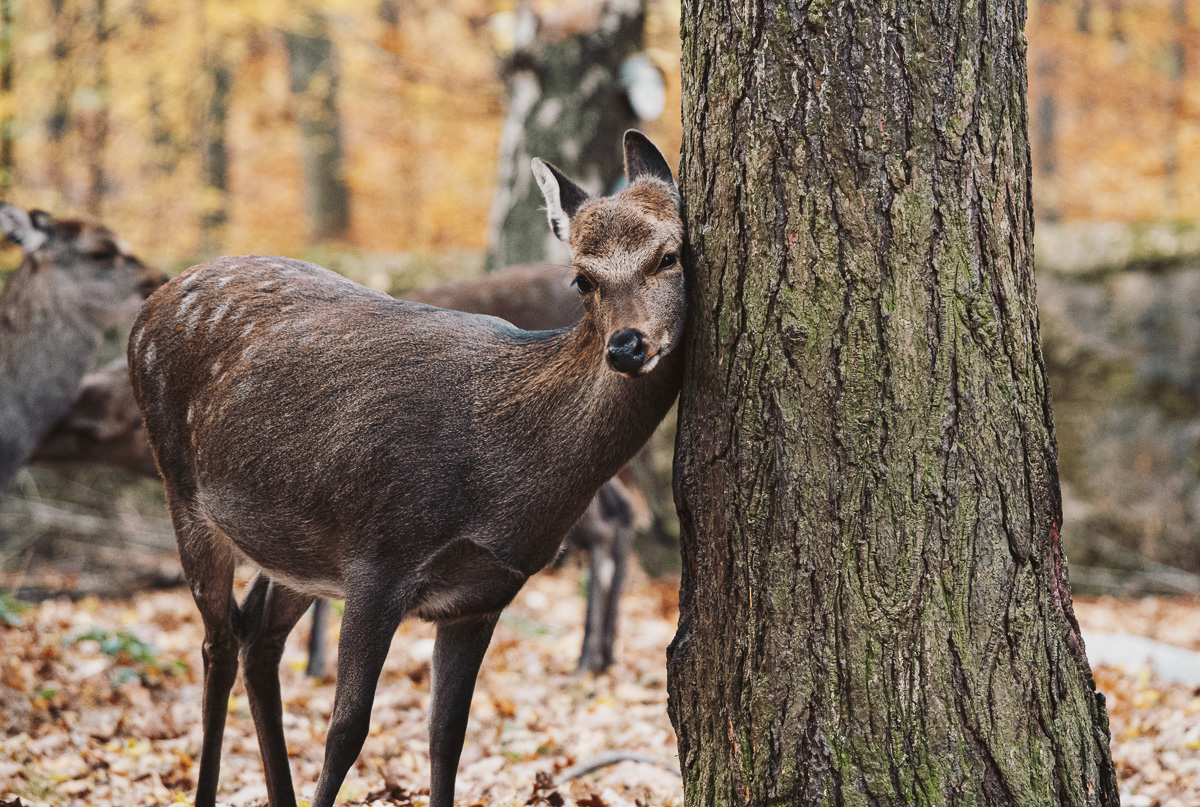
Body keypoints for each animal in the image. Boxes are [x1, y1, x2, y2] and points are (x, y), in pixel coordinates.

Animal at [127, 132, 686, 806]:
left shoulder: (482, 594)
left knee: (257, 637)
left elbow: (447, 735)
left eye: (670, 256)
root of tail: (149, 304)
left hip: (299, 548)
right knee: (217, 642)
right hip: (183, 490)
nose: (627, 345)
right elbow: (346, 730)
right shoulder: (379, 558)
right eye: (582, 278)